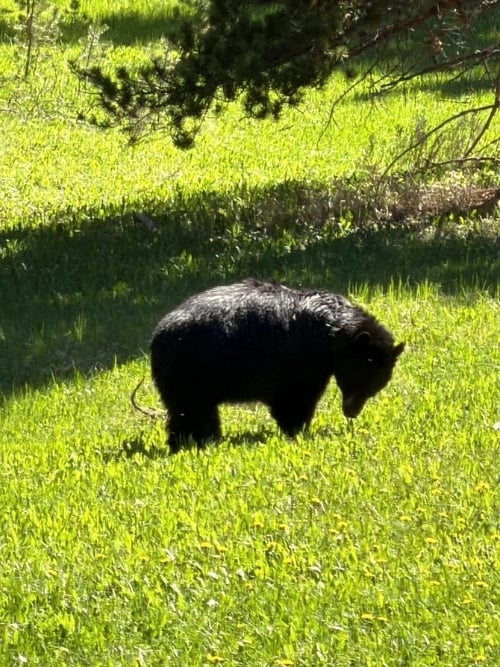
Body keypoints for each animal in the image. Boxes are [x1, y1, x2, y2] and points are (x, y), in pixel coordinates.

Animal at [150, 279, 404, 452]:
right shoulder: (304, 357)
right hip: (195, 369)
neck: (332, 330)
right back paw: (194, 441)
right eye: (361, 375)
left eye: (377, 385)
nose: (351, 411)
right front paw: (298, 431)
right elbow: (295, 398)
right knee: (193, 411)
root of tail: (161, 336)